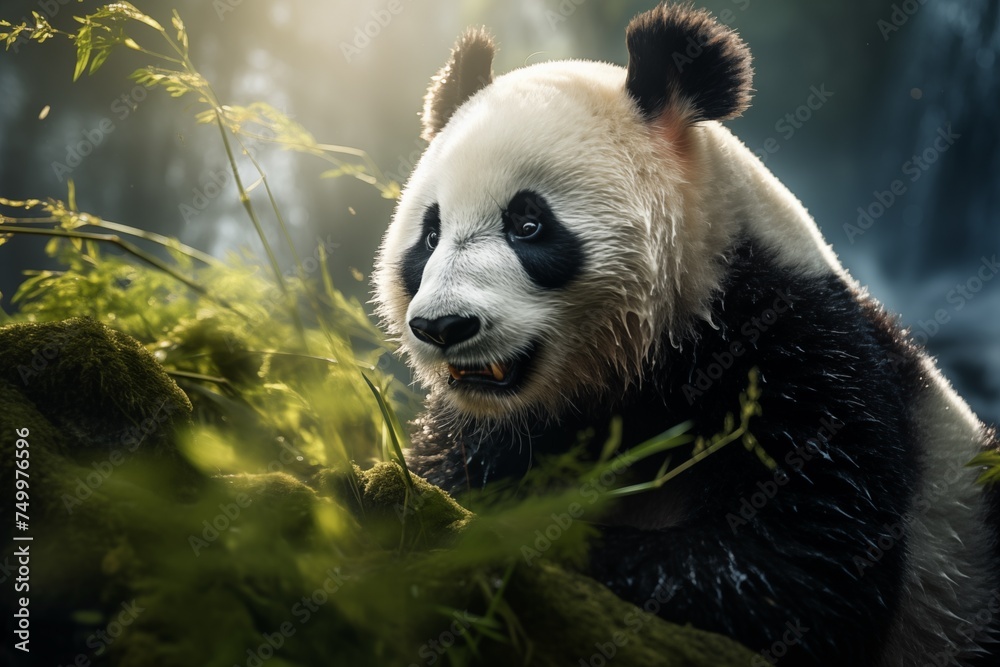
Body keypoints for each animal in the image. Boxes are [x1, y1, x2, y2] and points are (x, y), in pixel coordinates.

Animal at [372, 3, 1000, 665]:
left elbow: (799, 569)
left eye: (528, 224)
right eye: (430, 235)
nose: (443, 326)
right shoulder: (501, 425)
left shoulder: (799, 360)